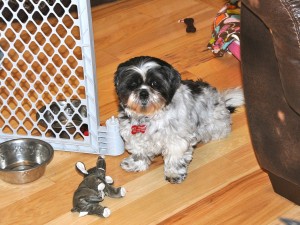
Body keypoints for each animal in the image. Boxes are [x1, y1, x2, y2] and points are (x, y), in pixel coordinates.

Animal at [113, 55, 243, 184]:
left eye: (155, 83)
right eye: (133, 84)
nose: (143, 93)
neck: (149, 116)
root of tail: (223, 103)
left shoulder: (176, 139)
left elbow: (174, 157)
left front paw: (173, 173)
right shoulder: (133, 134)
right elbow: (139, 151)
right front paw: (135, 164)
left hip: (214, 126)